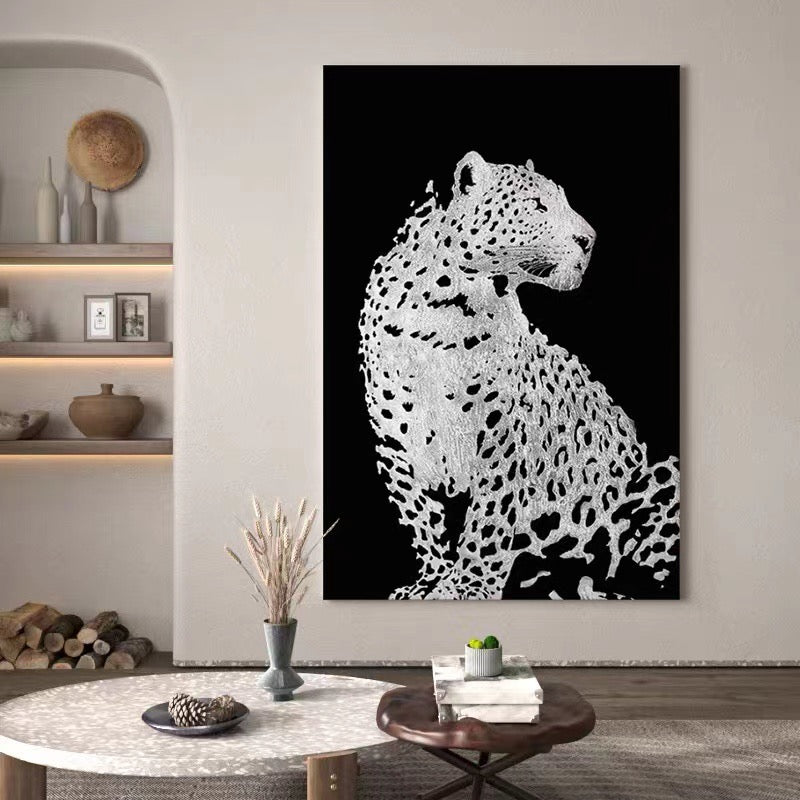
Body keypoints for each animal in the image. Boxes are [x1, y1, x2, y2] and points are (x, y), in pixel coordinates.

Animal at [358, 151, 680, 600]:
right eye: (537, 205)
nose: (590, 239)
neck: (444, 311)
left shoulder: (505, 435)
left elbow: (487, 520)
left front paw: (469, 586)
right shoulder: (394, 441)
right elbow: (421, 516)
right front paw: (431, 581)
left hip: (660, 475)